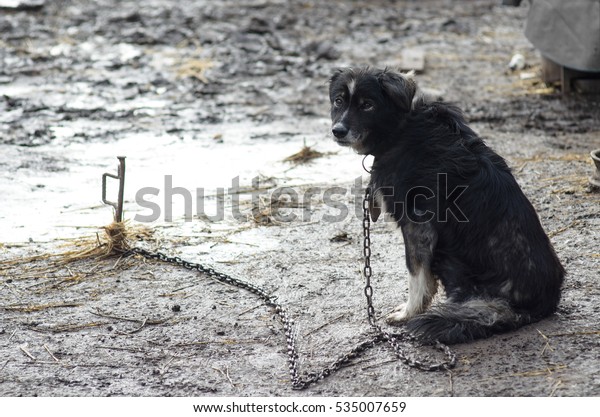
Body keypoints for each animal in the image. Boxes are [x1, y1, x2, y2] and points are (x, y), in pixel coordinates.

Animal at [330, 66, 564, 342]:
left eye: (367, 105)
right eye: (338, 101)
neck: (400, 129)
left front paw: (409, 312)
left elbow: (416, 275)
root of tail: (541, 304)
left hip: (453, 258)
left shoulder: (418, 225)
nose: (338, 130)